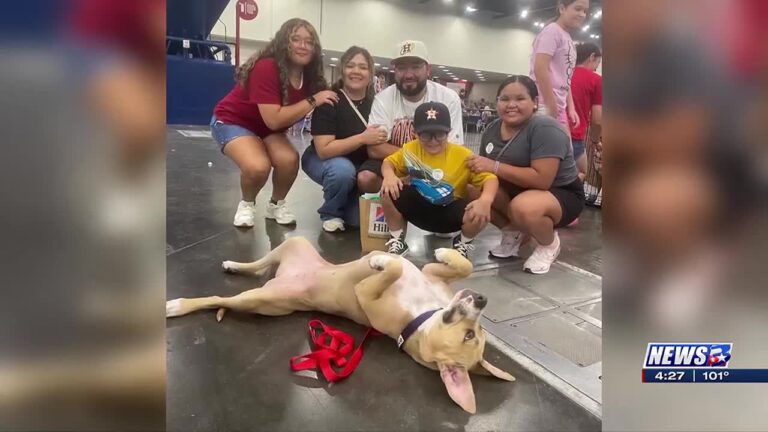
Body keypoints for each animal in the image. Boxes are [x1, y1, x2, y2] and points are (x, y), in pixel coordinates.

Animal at [168, 238, 516, 414]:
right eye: (476, 333)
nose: (482, 299)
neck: (423, 316)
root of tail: (283, 277)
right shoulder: (432, 275)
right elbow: (461, 265)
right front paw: (442, 252)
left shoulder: (367, 296)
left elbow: (390, 271)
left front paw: (381, 261)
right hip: (292, 244)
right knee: (256, 266)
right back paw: (233, 264)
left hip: (263, 301)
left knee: (219, 298)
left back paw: (177, 305)